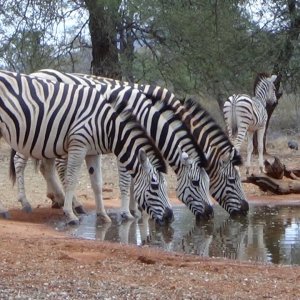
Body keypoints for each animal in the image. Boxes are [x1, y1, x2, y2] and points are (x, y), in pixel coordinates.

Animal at [0, 70, 173, 225]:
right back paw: (19, 205)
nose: (170, 217)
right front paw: (70, 215)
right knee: (21, 162)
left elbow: (97, 184)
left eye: (166, 186)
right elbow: (71, 179)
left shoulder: (92, 152)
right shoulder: (78, 145)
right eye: (154, 187)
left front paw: (103, 215)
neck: (106, 124)